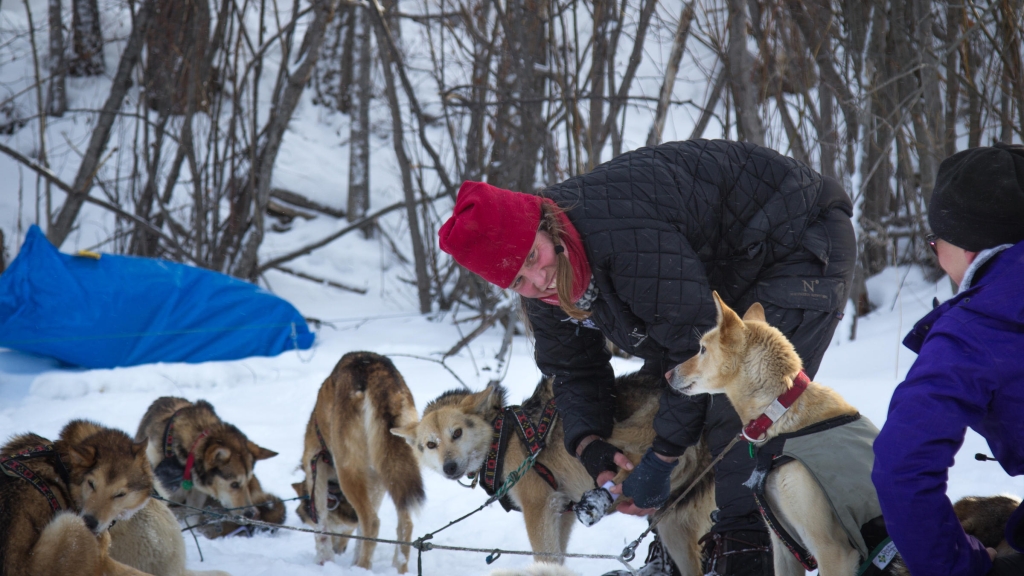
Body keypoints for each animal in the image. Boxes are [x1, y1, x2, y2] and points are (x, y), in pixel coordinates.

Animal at [296, 350, 423, 569]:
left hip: (349, 470)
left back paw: (362, 567)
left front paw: (324, 560)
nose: (338, 550)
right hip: (398, 471)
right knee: (405, 524)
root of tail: (374, 372)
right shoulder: (376, 483)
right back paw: (398, 568)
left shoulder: (315, 467)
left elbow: (321, 527)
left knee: (372, 522)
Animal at [395, 373, 716, 569]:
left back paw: (607, 496)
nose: (449, 467)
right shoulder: (562, 511)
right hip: (675, 534)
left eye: (457, 433)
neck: (502, 437)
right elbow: (557, 556)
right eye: (431, 444)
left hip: (628, 437)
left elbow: (544, 555)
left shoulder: (540, 507)